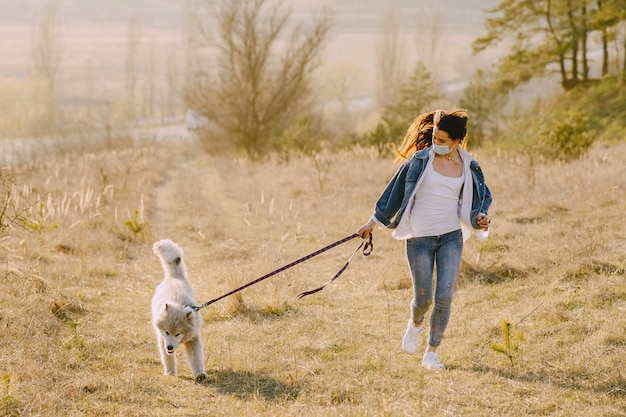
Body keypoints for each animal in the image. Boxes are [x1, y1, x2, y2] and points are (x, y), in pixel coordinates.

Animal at [151, 237, 207, 380]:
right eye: (166, 332)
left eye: (177, 334)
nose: (170, 347)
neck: (177, 303)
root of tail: (174, 276)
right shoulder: (162, 340)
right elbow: (168, 359)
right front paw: (170, 373)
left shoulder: (193, 339)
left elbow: (196, 359)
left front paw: (200, 374)